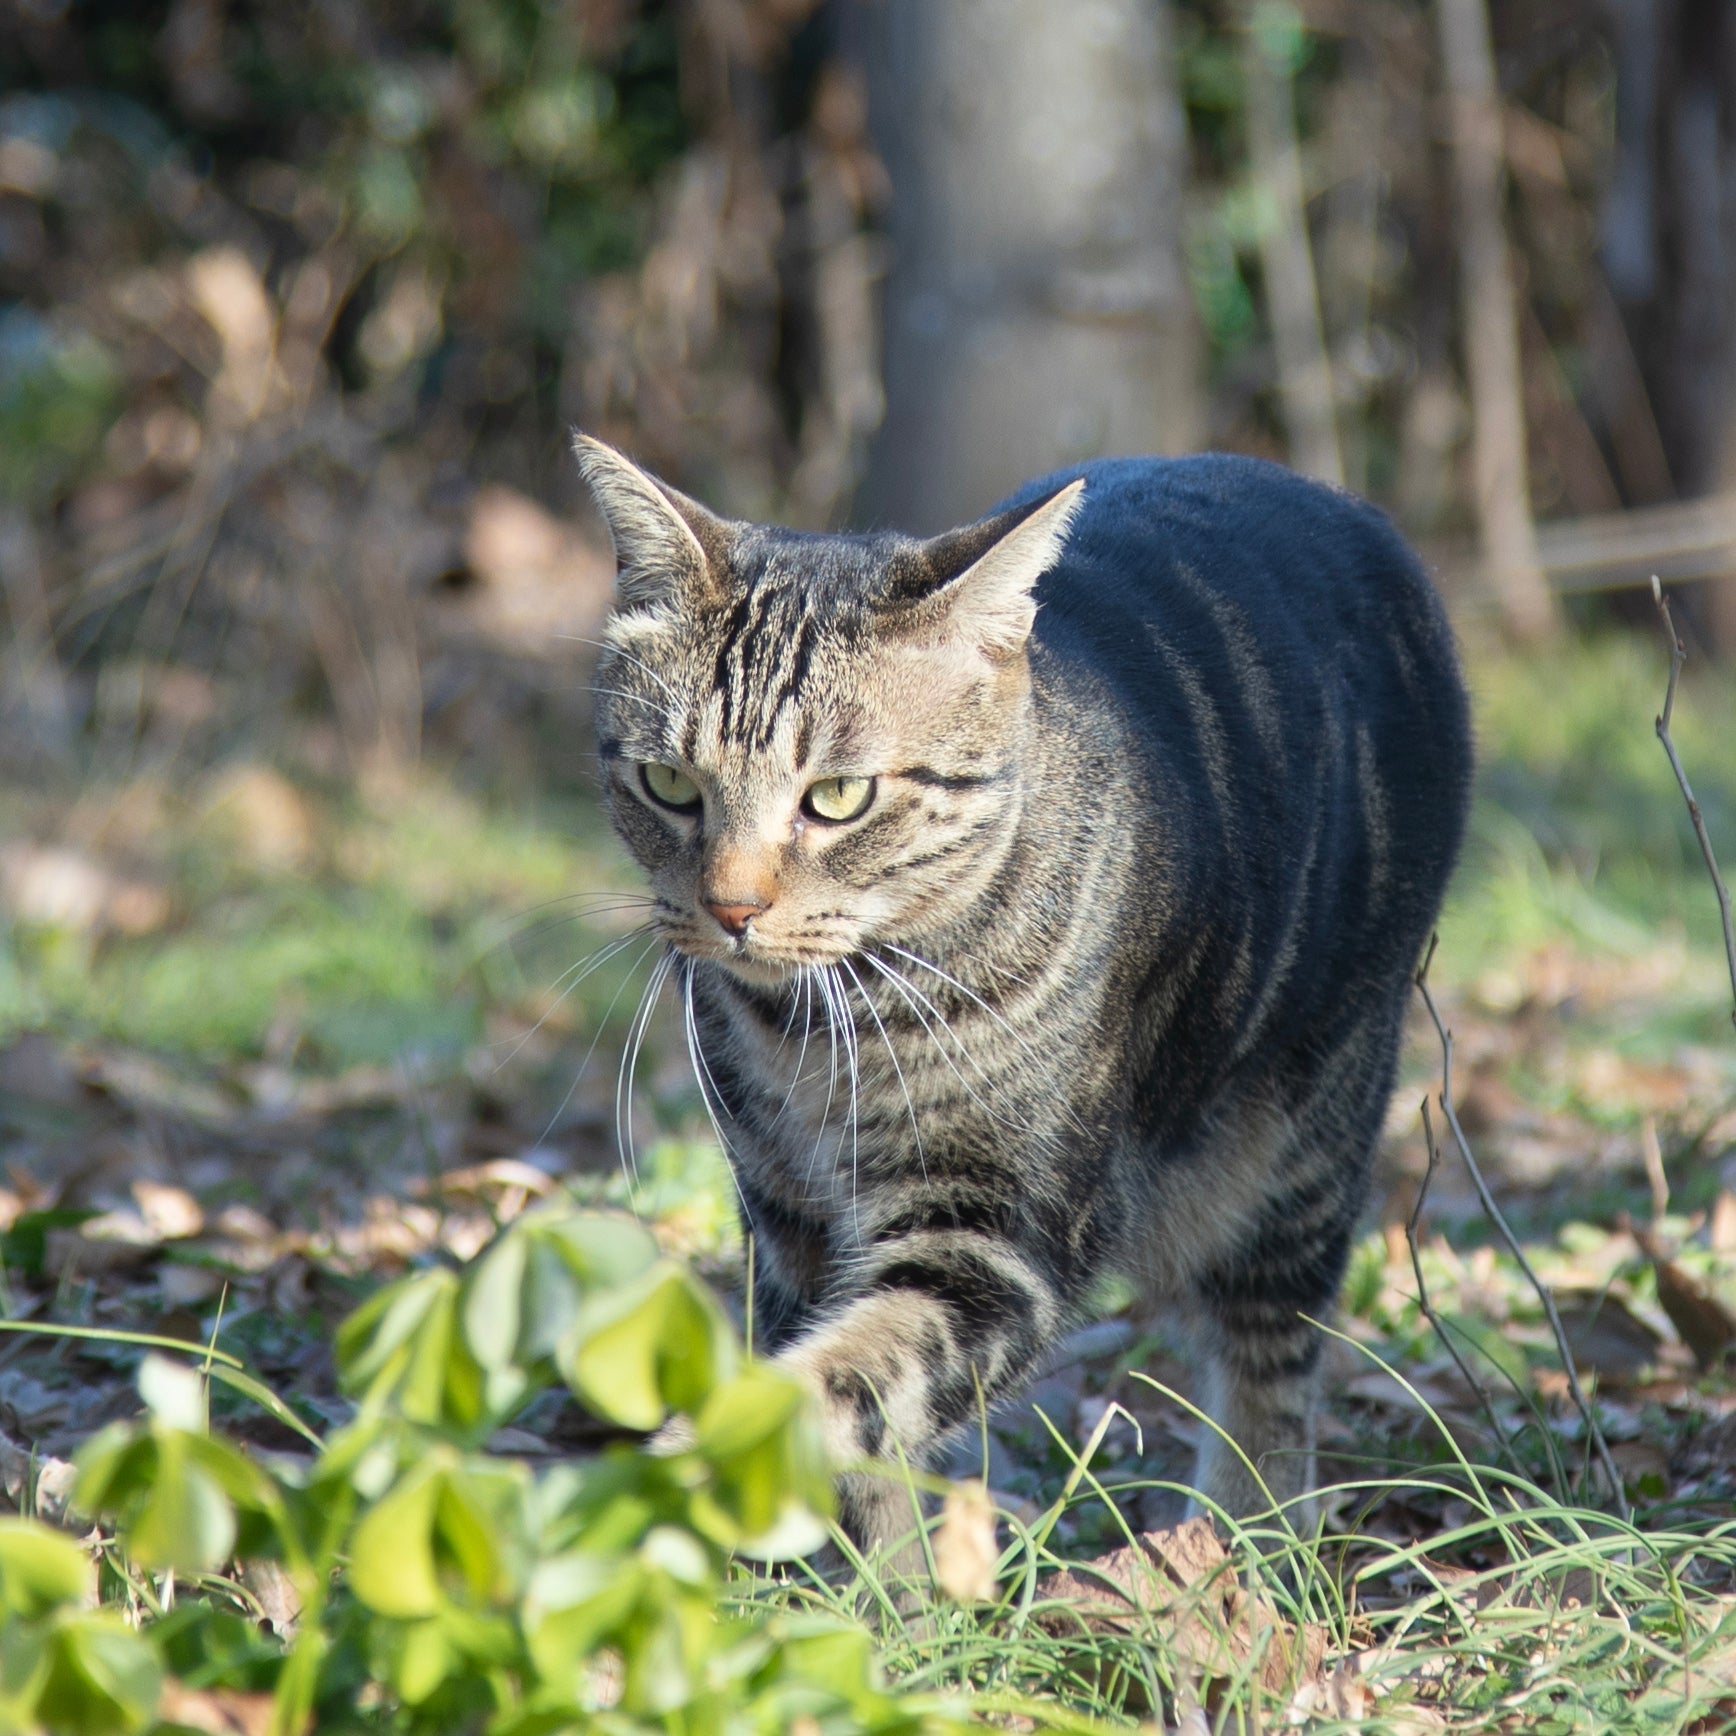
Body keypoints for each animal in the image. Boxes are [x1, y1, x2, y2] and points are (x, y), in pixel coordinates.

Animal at [576, 437, 1472, 1562]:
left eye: (837, 796)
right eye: (668, 784)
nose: (731, 908)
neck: (826, 1031)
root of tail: (1330, 498)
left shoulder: (1000, 1232)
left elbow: (847, 1378)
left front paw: (698, 1470)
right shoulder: (787, 1213)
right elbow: (859, 1438)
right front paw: (878, 1590)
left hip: (1302, 1140)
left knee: (1270, 1367)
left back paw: (1242, 1552)